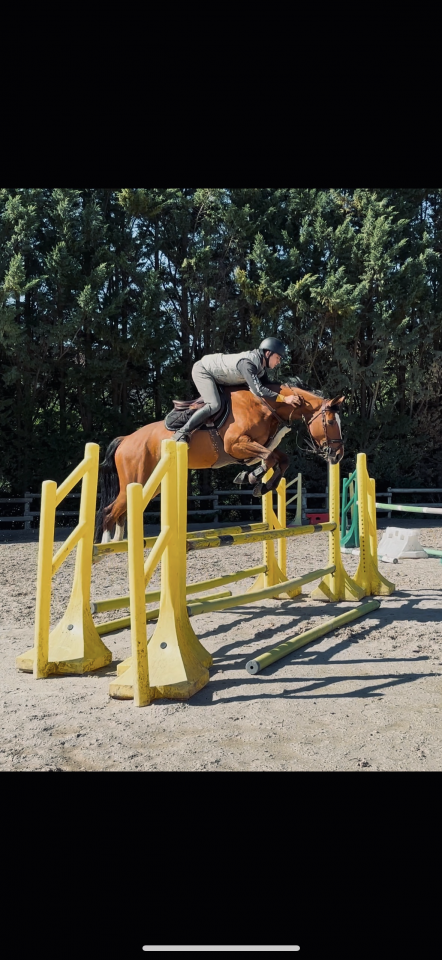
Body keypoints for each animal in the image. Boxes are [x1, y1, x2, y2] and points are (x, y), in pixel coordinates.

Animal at [94, 381, 344, 543]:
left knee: (120, 513)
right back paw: (105, 547)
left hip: (149, 486)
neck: (265, 405)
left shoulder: (256, 446)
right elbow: (271, 458)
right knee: (108, 512)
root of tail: (126, 439)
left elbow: (281, 460)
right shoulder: (236, 444)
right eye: (331, 422)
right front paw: (252, 478)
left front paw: (260, 484)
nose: (338, 454)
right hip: (136, 481)